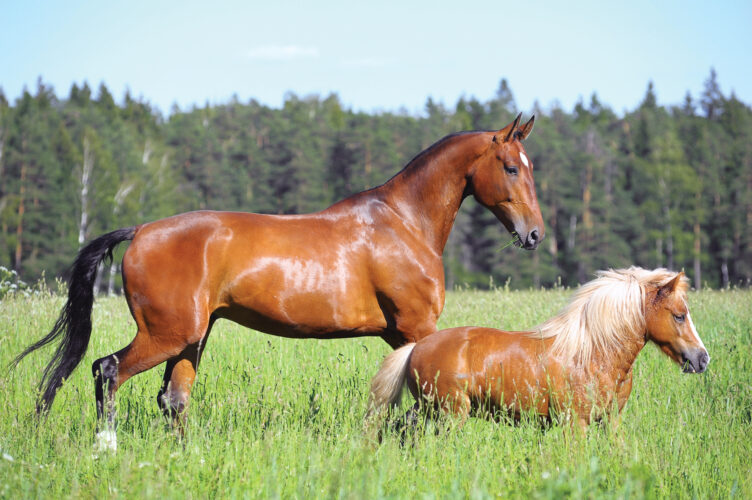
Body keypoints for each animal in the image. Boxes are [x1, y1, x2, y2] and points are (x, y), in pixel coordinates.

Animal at [14, 114, 544, 448]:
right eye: (510, 167)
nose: (534, 234)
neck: (403, 223)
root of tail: (140, 230)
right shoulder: (417, 329)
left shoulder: (400, 336)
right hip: (165, 335)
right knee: (107, 371)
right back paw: (107, 442)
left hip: (191, 339)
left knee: (173, 400)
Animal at [368, 267, 710, 432]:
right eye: (679, 315)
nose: (702, 358)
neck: (594, 354)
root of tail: (416, 347)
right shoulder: (575, 423)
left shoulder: (610, 420)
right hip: (449, 413)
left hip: (426, 409)